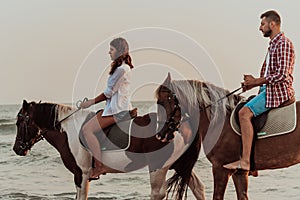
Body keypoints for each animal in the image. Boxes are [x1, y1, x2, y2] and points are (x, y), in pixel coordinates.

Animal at [11, 99, 204, 199]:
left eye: (20, 122)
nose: (17, 148)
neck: (68, 130)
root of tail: (180, 123)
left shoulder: (82, 174)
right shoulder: (82, 176)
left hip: (158, 167)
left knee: (158, 193)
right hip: (179, 165)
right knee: (198, 188)